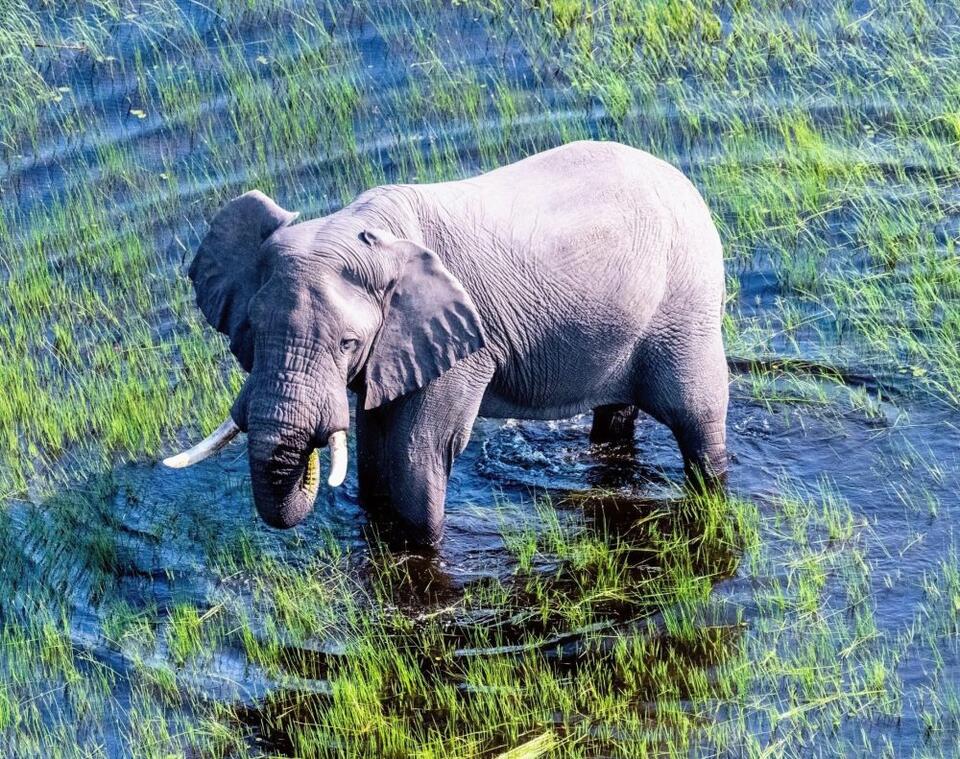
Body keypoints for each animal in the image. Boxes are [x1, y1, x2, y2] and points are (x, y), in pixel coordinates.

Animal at [163, 140, 728, 545]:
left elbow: (416, 455)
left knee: (697, 417)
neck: (362, 228)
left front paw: (422, 548)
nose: (310, 465)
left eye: (347, 343)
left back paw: (712, 488)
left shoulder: (463, 345)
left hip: (687, 305)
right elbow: (375, 453)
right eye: (252, 335)